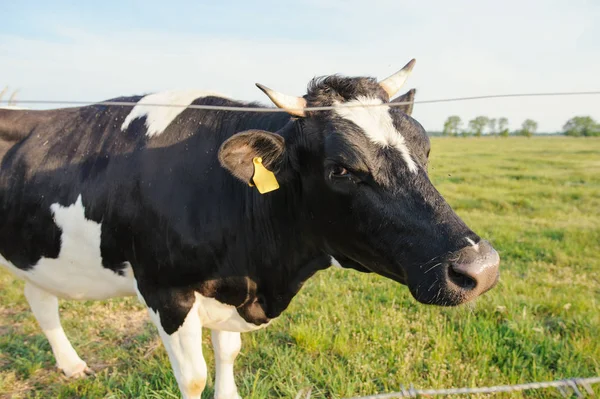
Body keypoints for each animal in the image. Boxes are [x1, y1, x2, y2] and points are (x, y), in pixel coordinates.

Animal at [0, 60, 500, 399]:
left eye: (426, 148)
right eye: (340, 169)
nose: (482, 269)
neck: (263, 277)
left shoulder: (231, 286)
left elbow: (228, 355)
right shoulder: (166, 291)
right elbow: (194, 377)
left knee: (39, 298)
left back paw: (71, 366)